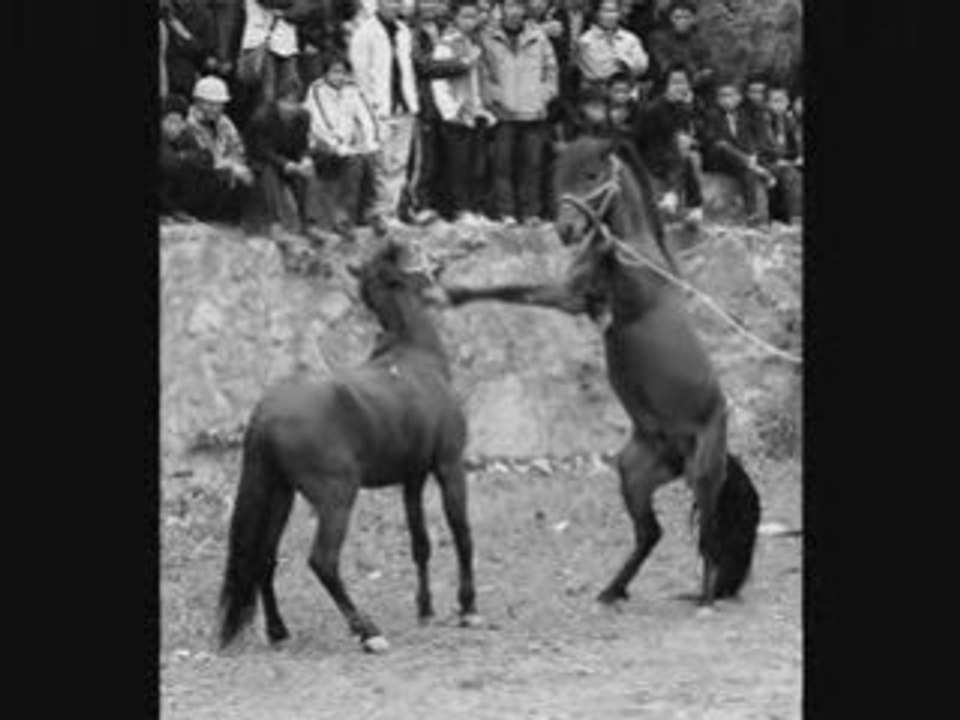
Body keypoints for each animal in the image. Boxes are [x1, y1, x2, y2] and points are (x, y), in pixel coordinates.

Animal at [218, 241, 480, 655]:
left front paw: (425, 610)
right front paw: (468, 608)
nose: (440, 267)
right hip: (337, 495)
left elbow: (420, 542)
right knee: (322, 561)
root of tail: (266, 412)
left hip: (279, 494)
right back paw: (368, 631)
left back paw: (278, 632)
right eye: (415, 252)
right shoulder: (449, 466)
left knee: (265, 558)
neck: (414, 356)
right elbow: (462, 533)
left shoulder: (412, 478)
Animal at [441, 136, 761, 608]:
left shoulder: (616, 293)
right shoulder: (571, 294)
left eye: (591, 175)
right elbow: (514, 289)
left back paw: (703, 598)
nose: (566, 229)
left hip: (704, 475)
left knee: (708, 533)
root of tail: (680, 455)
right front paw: (454, 293)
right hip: (633, 473)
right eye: (558, 175)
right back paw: (612, 590)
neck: (633, 246)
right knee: (651, 533)